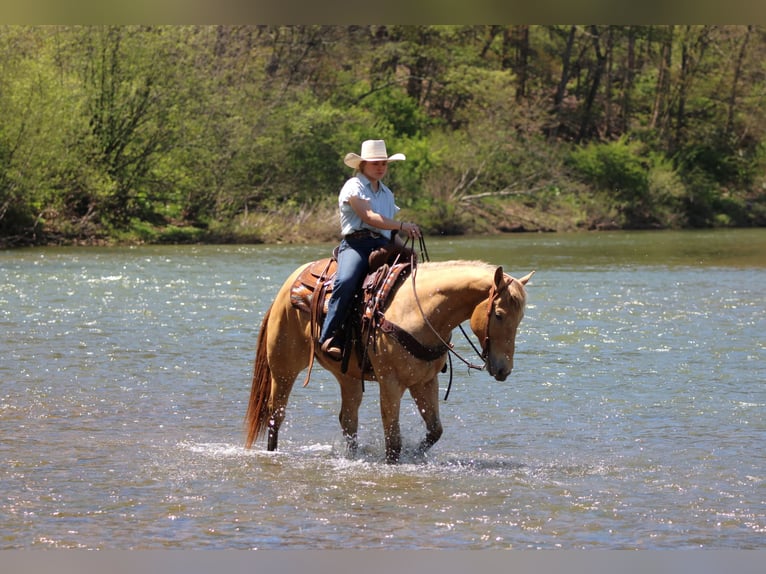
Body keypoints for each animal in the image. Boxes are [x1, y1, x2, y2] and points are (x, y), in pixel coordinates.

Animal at [244, 259, 534, 463]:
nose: (503, 369)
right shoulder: (391, 383)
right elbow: (393, 442)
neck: (419, 310)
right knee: (276, 415)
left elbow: (434, 431)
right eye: (498, 314)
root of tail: (287, 287)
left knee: (348, 420)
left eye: (520, 318)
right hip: (283, 368)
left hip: (348, 377)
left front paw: (416, 455)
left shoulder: (424, 382)